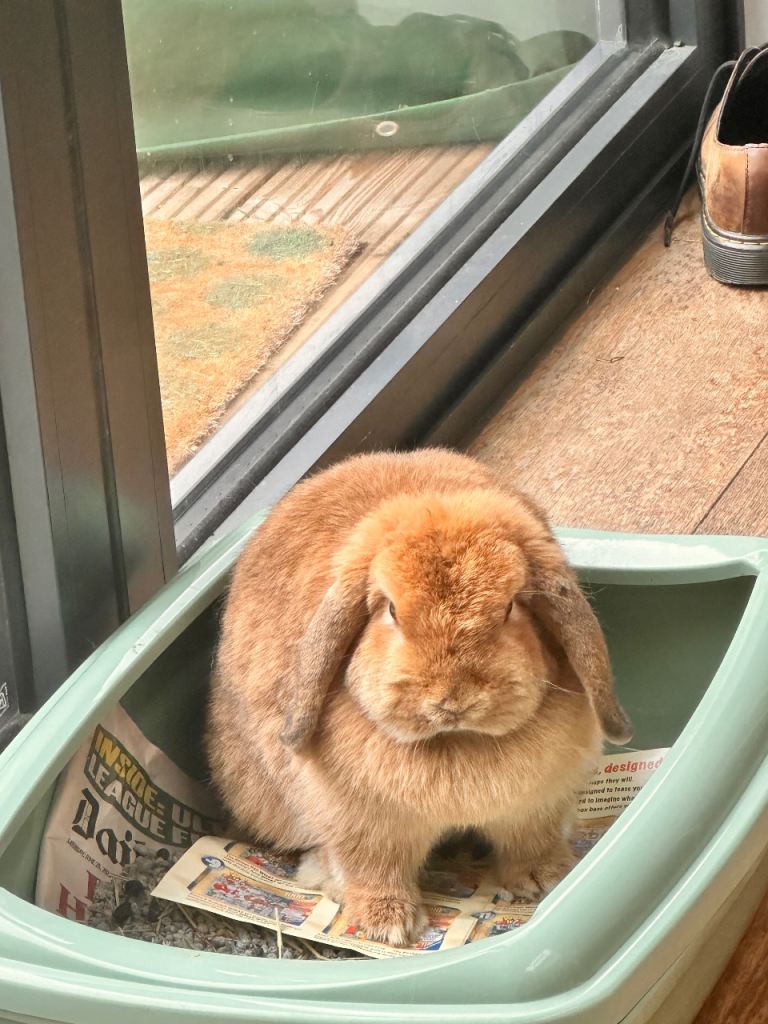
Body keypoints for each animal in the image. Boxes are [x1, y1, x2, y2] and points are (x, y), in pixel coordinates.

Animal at [206, 448, 631, 946]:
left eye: (510, 606)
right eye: (390, 608)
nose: (452, 700)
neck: (456, 742)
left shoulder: (535, 807)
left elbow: (531, 842)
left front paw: (546, 879)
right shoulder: (365, 827)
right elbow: (374, 871)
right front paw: (388, 926)